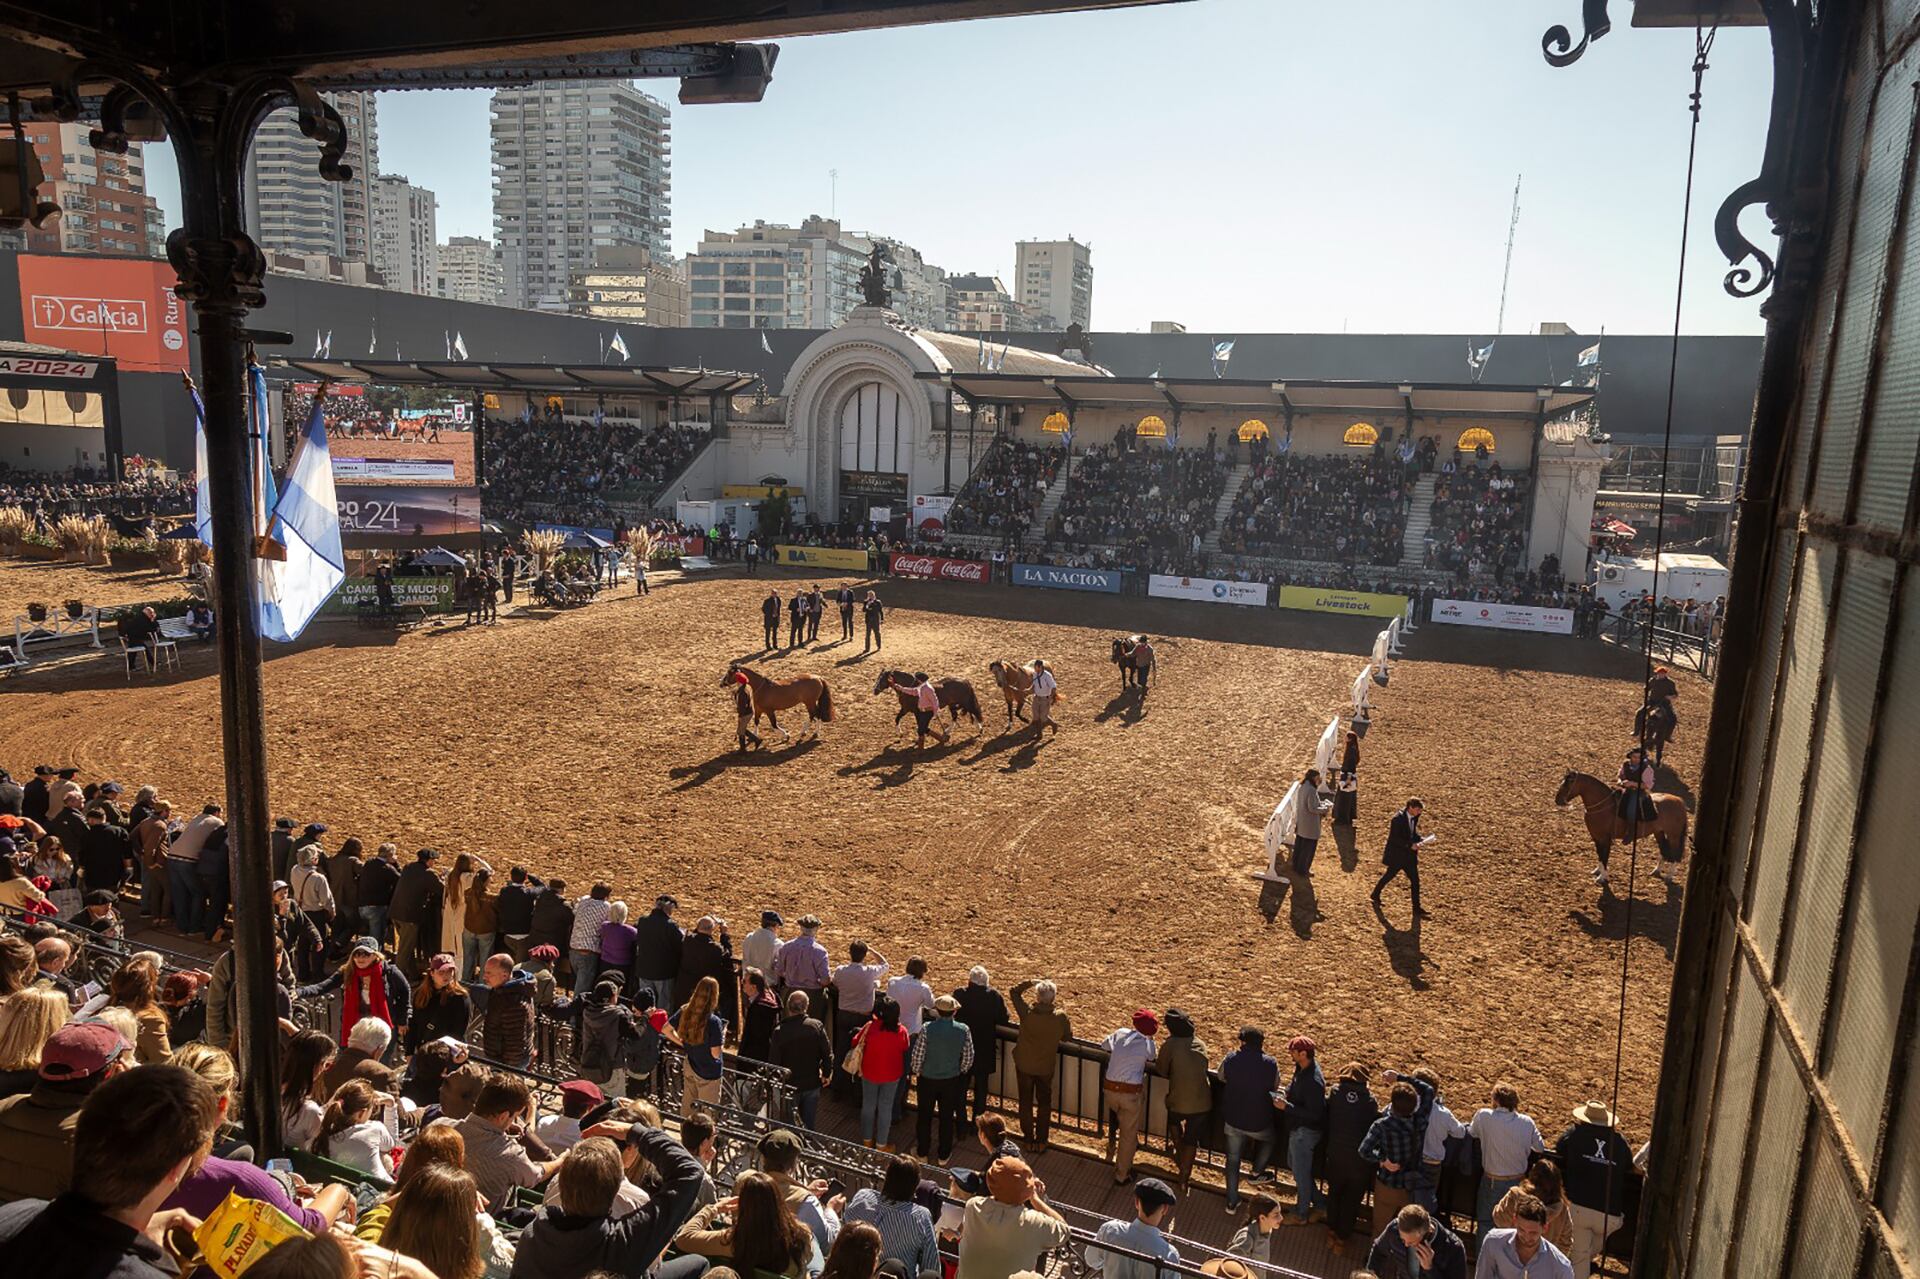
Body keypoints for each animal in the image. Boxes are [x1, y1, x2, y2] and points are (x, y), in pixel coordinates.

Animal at [1551, 760, 1689, 883]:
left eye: (1568, 783)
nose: (1558, 800)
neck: (1604, 805)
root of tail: (1680, 801)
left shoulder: (1605, 838)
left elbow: (1604, 856)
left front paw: (1602, 877)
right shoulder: (1597, 837)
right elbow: (1600, 854)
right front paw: (1597, 871)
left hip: (1674, 835)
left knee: (1675, 852)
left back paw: (1669, 876)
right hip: (1659, 832)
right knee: (1663, 850)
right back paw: (1656, 871)